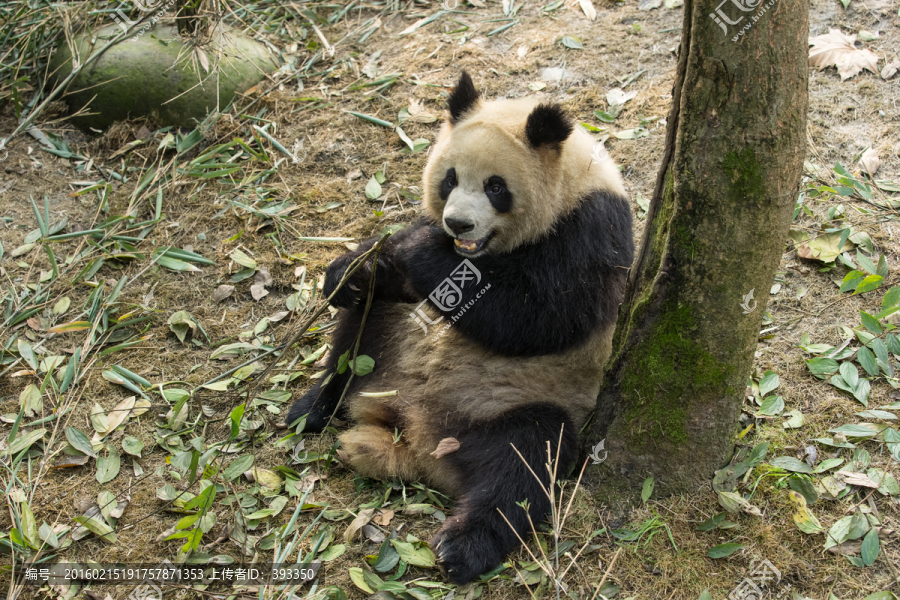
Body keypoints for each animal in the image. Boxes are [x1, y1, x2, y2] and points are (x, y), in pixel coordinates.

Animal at [288, 72, 632, 584]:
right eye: (449, 178)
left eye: (496, 187)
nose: (457, 223)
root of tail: (416, 438)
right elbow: (383, 279)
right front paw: (352, 271)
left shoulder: (591, 228)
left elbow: (537, 314)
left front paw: (419, 248)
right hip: (390, 352)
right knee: (358, 336)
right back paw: (312, 408)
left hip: (505, 404)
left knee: (525, 460)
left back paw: (462, 545)